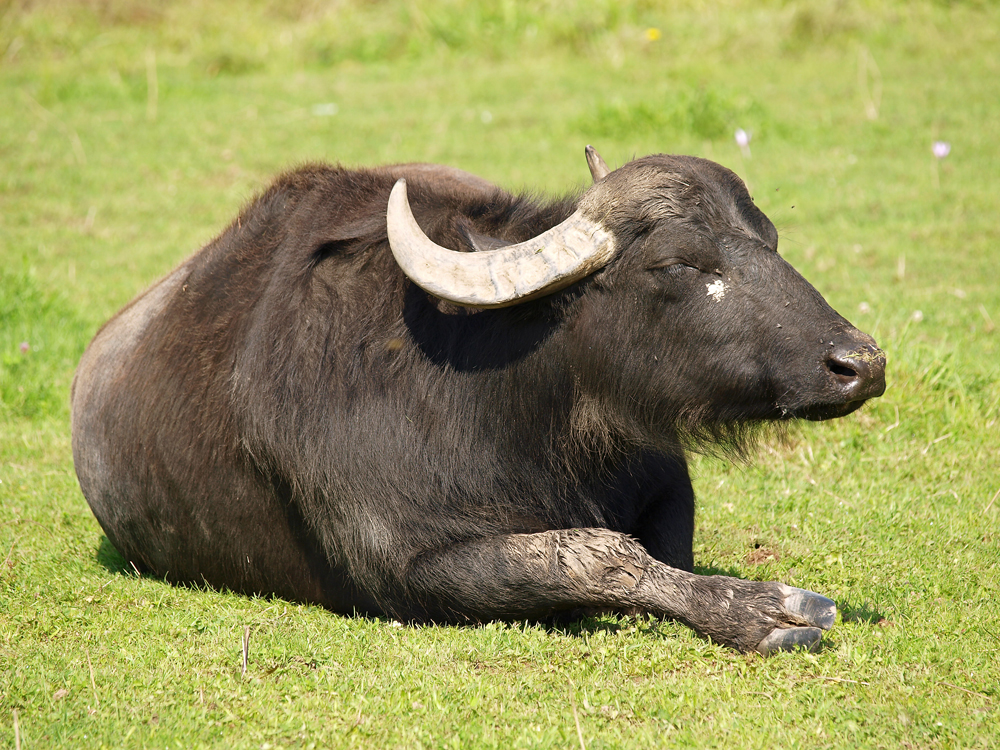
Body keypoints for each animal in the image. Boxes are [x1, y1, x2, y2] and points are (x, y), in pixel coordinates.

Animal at [70, 147, 884, 652]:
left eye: (769, 239)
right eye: (679, 263)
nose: (861, 364)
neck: (516, 407)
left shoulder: (663, 480)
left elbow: (659, 548)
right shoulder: (406, 570)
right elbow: (594, 556)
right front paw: (766, 610)